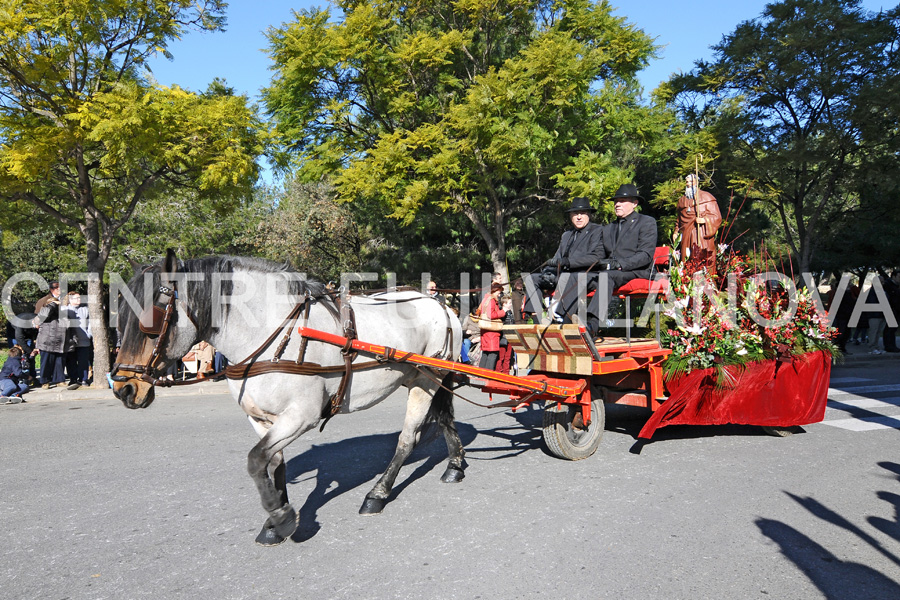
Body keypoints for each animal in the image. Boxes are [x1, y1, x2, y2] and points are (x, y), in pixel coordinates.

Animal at [110, 251, 464, 548]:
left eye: (151, 320)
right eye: (121, 315)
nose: (125, 388)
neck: (273, 333)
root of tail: (440, 304)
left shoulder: (301, 416)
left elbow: (255, 460)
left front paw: (281, 518)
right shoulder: (261, 418)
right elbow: (273, 462)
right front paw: (274, 517)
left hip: (425, 380)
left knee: (407, 439)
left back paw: (377, 494)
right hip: (422, 379)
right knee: (443, 419)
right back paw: (455, 465)